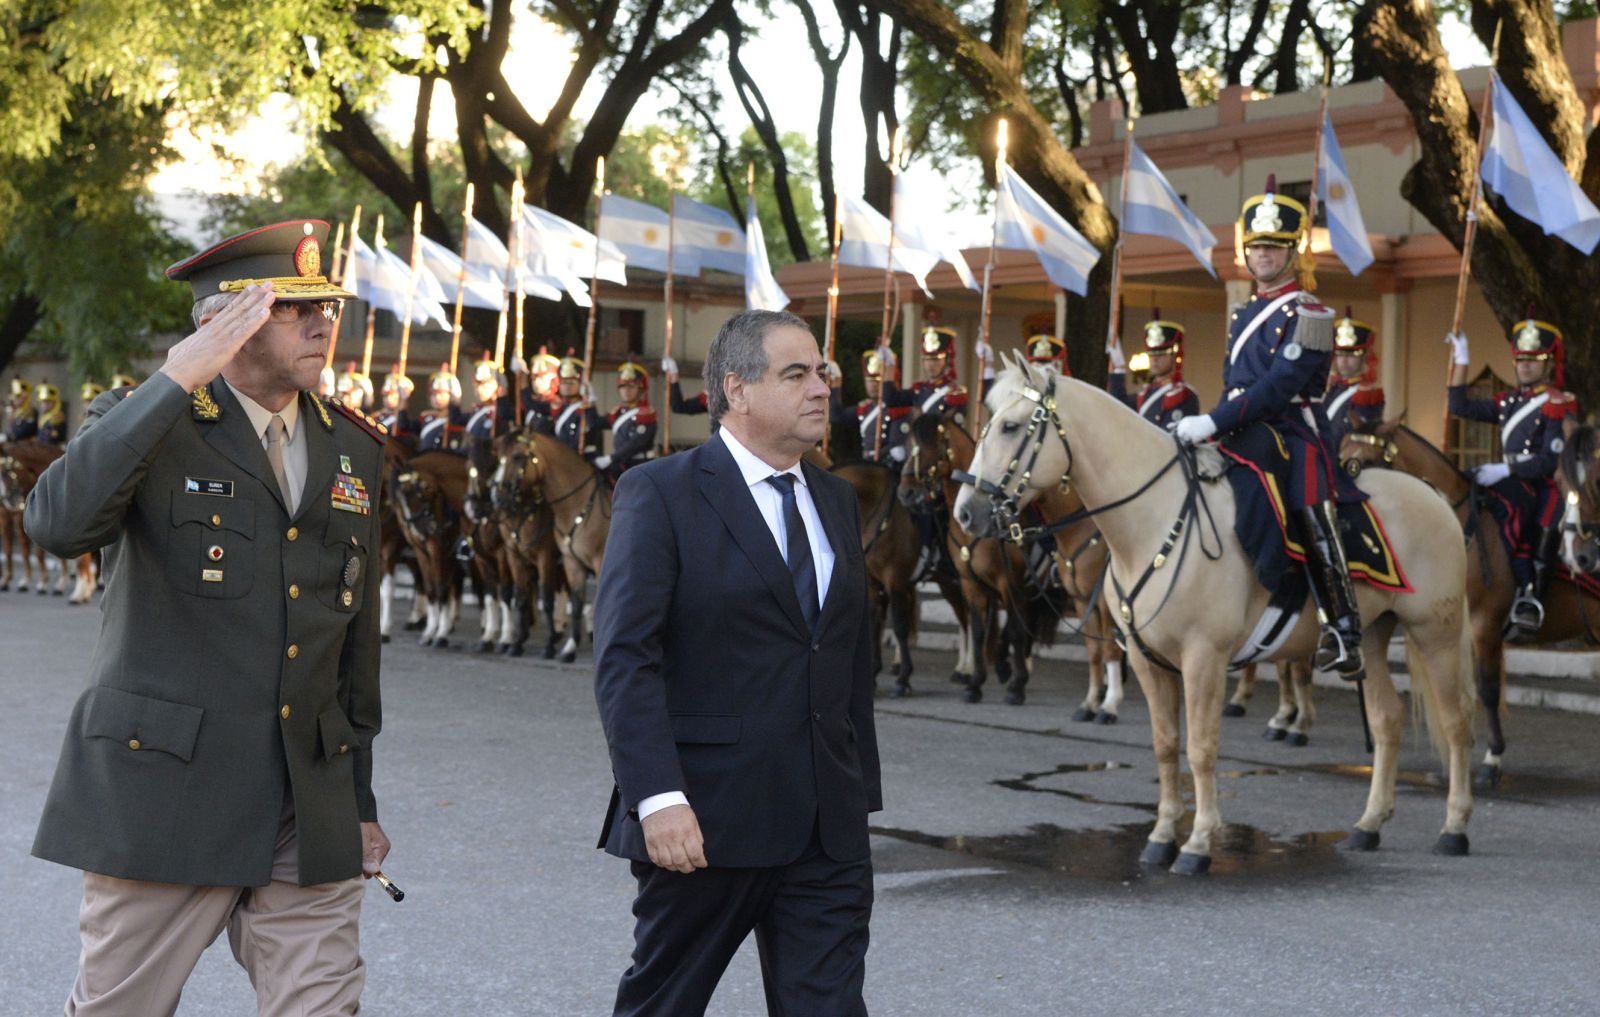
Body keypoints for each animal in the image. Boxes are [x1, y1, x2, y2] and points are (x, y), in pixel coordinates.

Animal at [486, 431, 604, 662]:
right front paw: (518, 644)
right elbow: (523, 598)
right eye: (498, 456)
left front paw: (549, 645)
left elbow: (549, 600)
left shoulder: (548, 558)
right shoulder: (523, 558)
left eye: (517, 457)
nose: (496, 496)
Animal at [947, 362, 1472, 876]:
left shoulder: (1204, 657)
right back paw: (1369, 824)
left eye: (1011, 427)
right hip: (1377, 634)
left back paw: (1454, 828)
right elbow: (1165, 744)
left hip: (1436, 635)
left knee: (1455, 723)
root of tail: (1435, 496)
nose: (965, 514)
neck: (1151, 522)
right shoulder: (1148, 660)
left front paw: (1198, 843)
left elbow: (1201, 748)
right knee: (1387, 720)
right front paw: (1161, 838)